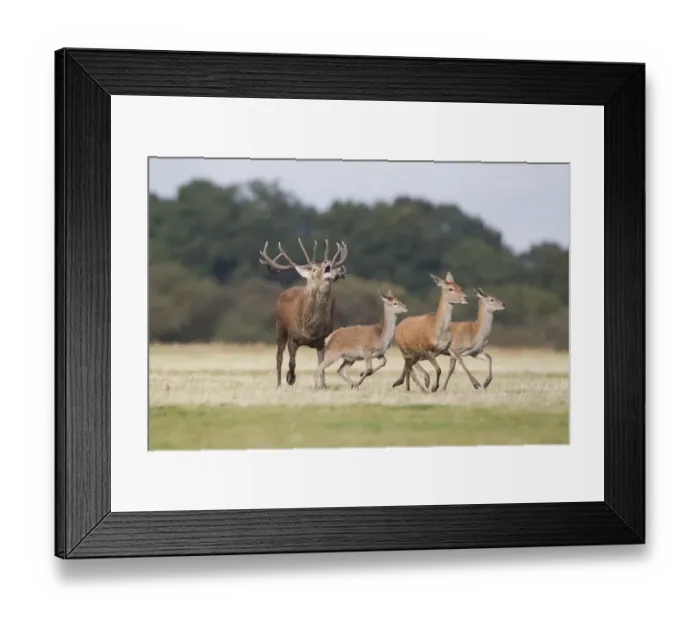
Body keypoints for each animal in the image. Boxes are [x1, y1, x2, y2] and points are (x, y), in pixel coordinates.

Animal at [259, 238, 348, 389]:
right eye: (314, 269)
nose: (327, 261)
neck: (311, 328)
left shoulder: (322, 340)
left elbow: (322, 365)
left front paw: (323, 386)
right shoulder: (293, 336)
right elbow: (292, 362)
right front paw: (290, 378)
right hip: (280, 327)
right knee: (279, 357)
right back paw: (279, 384)